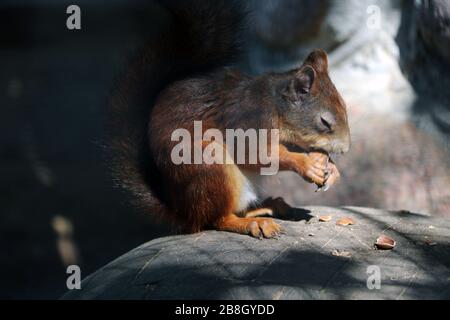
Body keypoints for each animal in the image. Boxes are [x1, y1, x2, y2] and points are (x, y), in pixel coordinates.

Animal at [109, 0, 352, 239]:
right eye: (325, 122)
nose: (346, 149)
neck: (275, 107)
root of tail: (182, 214)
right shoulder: (248, 119)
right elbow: (257, 153)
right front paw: (307, 165)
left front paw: (331, 169)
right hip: (208, 164)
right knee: (216, 219)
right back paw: (253, 223)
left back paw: (269, 207)